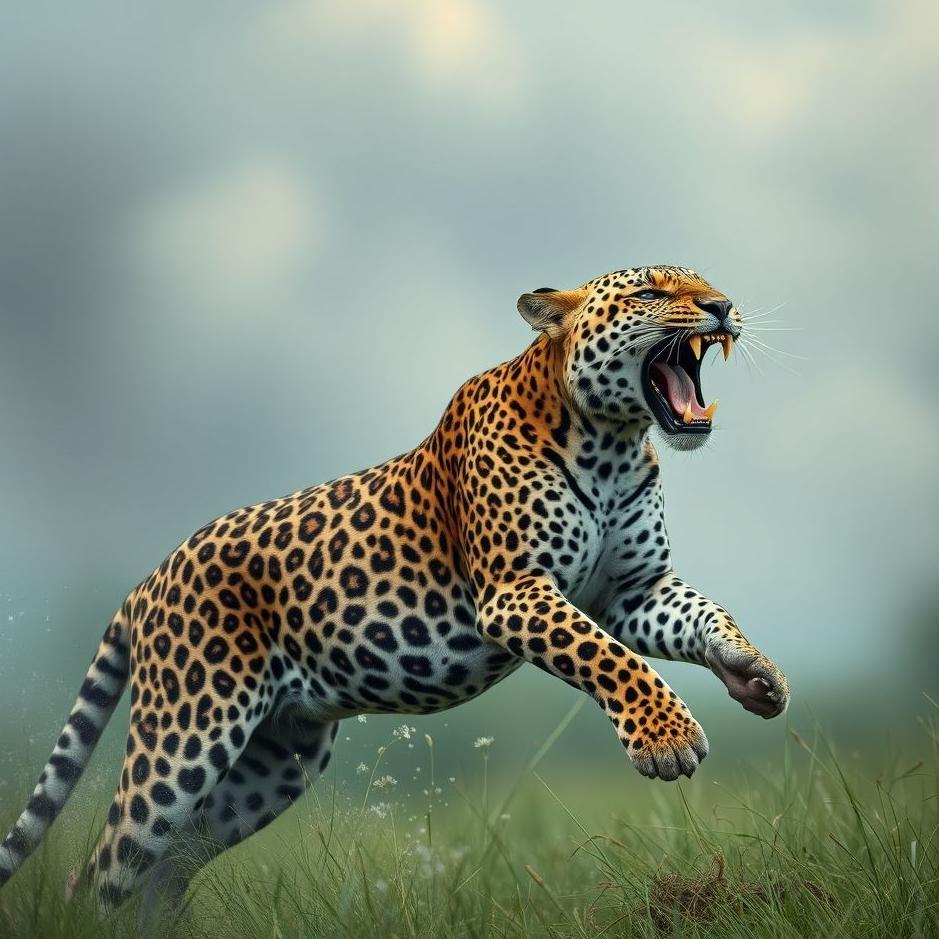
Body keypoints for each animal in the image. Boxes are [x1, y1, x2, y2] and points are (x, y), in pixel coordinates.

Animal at [0, 264, 788, 919]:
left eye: (706, 281)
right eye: (653, 290)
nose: (722, 307)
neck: (612, 442)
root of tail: (149, 577)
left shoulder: (635, 589)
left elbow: (702, 615)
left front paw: (756, 674)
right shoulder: (515, 591)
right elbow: (607, 656)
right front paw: (668, 739)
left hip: (273, 766)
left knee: (162, 871)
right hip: (186, 733)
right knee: (103, 868)